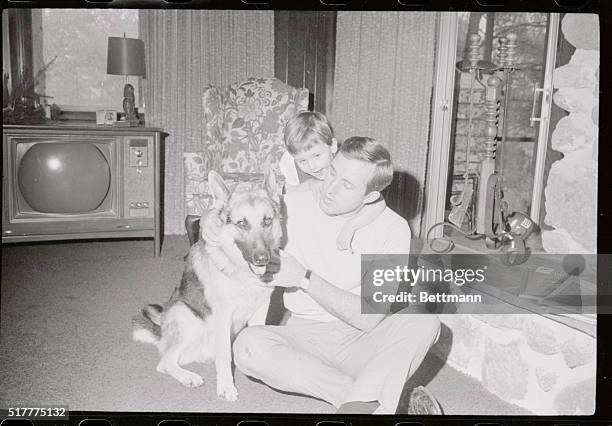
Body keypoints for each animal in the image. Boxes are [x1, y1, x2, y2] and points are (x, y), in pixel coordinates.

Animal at [133, 169, 284, 400]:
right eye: (242, 223)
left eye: (267, 221)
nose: (262, 259)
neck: (241, 271)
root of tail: (161, 331)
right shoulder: (223, 314)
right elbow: (224, 357)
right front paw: (226, 386)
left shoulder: (261, 309)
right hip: (186, 317)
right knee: (165, 362)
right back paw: (188, 377)